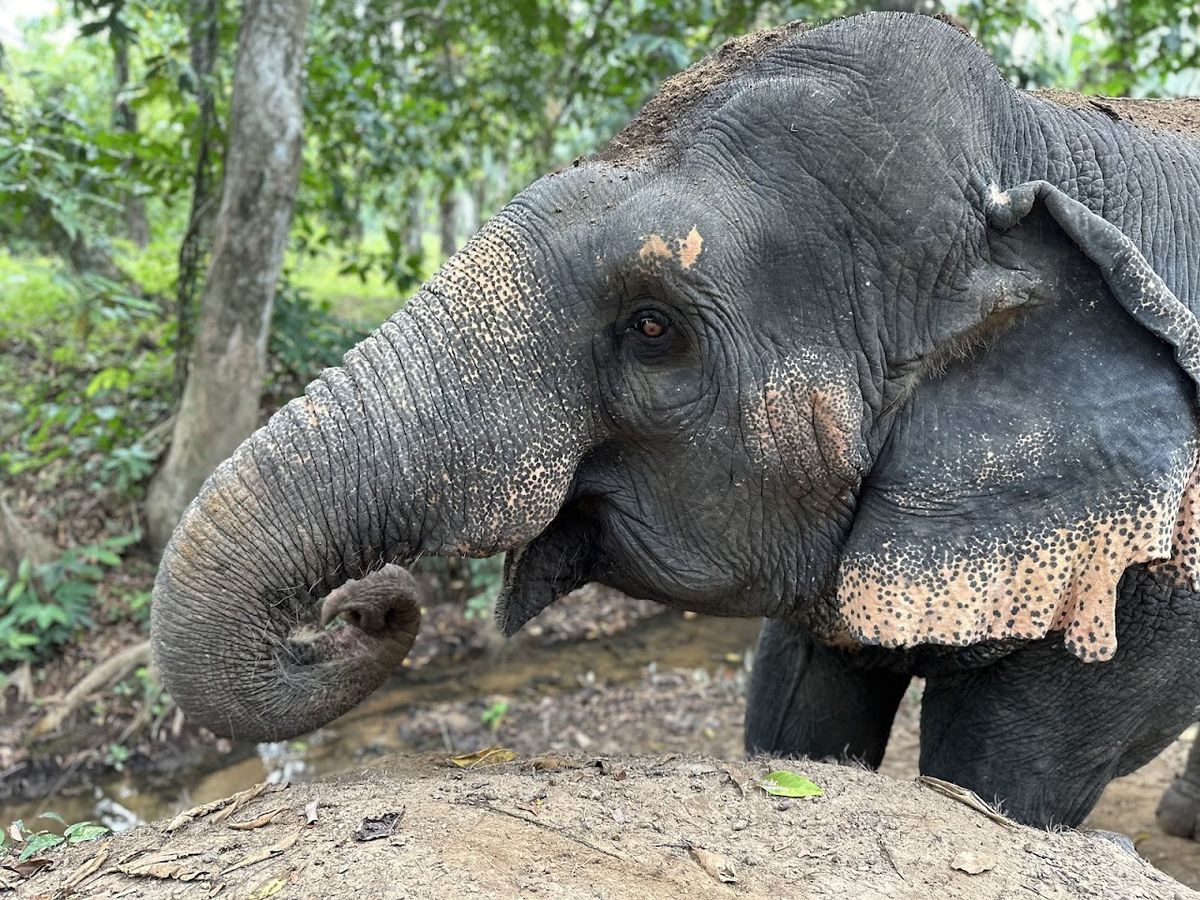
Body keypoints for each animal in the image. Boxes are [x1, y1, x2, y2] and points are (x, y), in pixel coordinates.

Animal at [151, 12, 1200, 832]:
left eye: (653, 329)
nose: (366, 604)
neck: (1033, 139)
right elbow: (797, 705)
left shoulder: (1153, 582)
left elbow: (1002, 775)